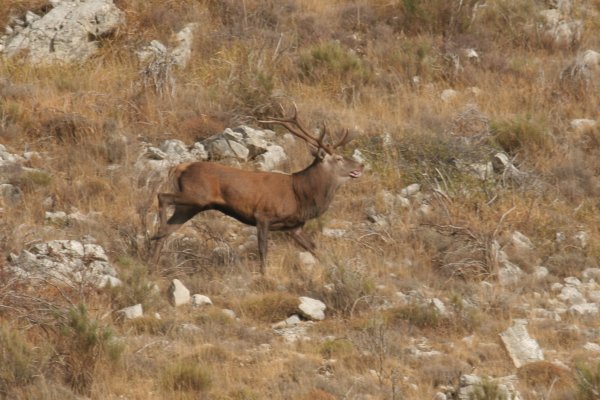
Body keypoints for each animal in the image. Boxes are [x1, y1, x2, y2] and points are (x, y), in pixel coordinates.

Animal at [151, 106, 364, 274]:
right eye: (338, 158)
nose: (361, 165)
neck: (300, 195)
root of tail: (179, 167)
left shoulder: (294, 227)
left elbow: (315, 248)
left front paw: (334, 268)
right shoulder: (263, 214)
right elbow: (263, 249)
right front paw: (264, 275)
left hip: (190, 206)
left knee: (169, 227)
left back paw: (153, 260)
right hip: (196, 196)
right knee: (162, 196)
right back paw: (156, 235)